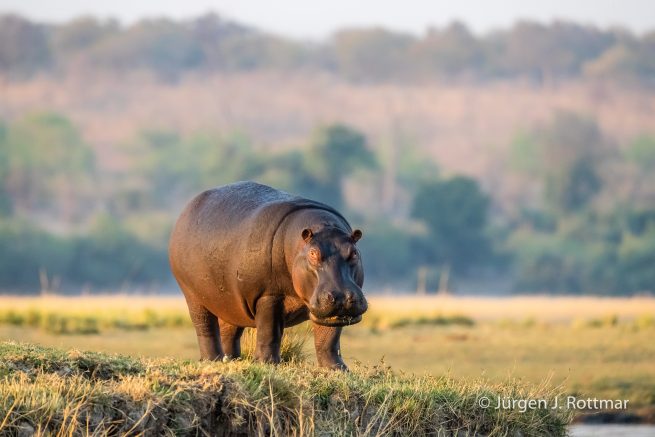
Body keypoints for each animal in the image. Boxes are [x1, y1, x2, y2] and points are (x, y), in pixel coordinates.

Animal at [169, 181, 367, 369]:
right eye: (313, 253)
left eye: (354, 252)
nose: (342, 296)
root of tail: (186, 211)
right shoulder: (268, 294)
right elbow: (269, 330)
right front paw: (266, 363)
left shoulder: (329, 309)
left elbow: (329, 338)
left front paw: (337, 369)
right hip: (193, 296)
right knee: (205, 327)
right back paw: (212, 360)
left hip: (229, 300)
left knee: (229, 330)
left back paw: (231, 360)